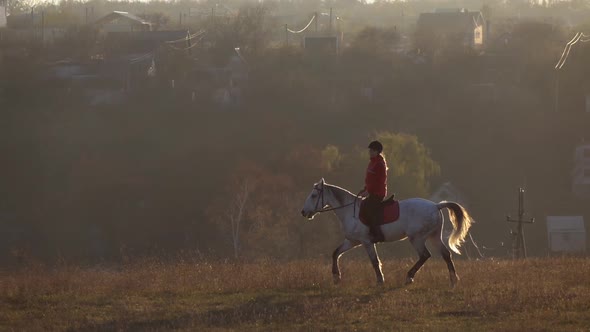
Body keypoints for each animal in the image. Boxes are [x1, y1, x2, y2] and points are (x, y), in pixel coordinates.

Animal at [300, 179, 476, 288]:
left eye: (314, 195)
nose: (303, 212)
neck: (350, 211)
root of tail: (436, 206)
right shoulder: (352, 241)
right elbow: (335, 253)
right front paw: (336, 277)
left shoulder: (366, 242)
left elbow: (374, 261)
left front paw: (380, 281)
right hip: (434, 237)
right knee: (446, 254)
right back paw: (453, 281)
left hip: (417, 238)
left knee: (425, 255)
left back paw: (409, 277)